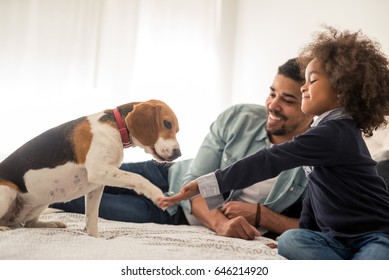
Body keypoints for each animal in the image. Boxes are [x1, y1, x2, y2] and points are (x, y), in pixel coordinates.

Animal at [0, 99, 180, 237]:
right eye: (167, 124)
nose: (179, 153)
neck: (116, 127)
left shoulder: (97, 185)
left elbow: (92, 218)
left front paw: (95, 238)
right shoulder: (98, 171)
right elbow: (138, 177)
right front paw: (156, 194)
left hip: (42, 199)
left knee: (28, 224)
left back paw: (51, 224)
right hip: (7, 192)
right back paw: (3, 228)